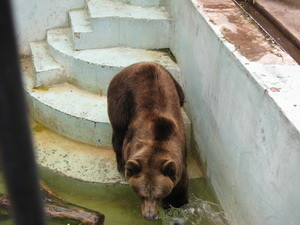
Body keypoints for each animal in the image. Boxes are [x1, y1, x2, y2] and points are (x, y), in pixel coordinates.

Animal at [107, 61, 188, 220]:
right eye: (141, 194)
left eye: (159, 195)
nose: (149, 215)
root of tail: (141, 63)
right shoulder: (131, 142)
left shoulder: (180, 161)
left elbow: (180, 192)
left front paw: (174, 208)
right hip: (120, 98)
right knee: (118, 129)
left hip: (174, 83)